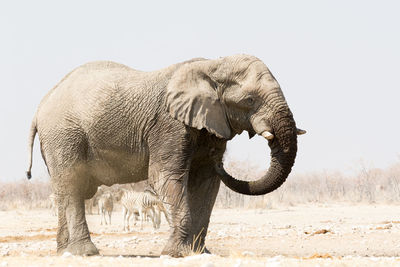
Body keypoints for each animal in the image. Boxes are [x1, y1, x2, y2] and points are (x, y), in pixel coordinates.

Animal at [25, 54, 306, 258]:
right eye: (249, 100)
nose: (222, 162)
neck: (212, 66)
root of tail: (40, 107)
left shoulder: (209, 125)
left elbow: (205, 183)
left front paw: (200, 253)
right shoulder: (169, 125)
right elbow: (164, 177)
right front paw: (177, 254)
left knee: (64, 191)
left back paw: (65, 252)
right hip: (64, 135)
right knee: (72, 186)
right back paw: (86, 253)